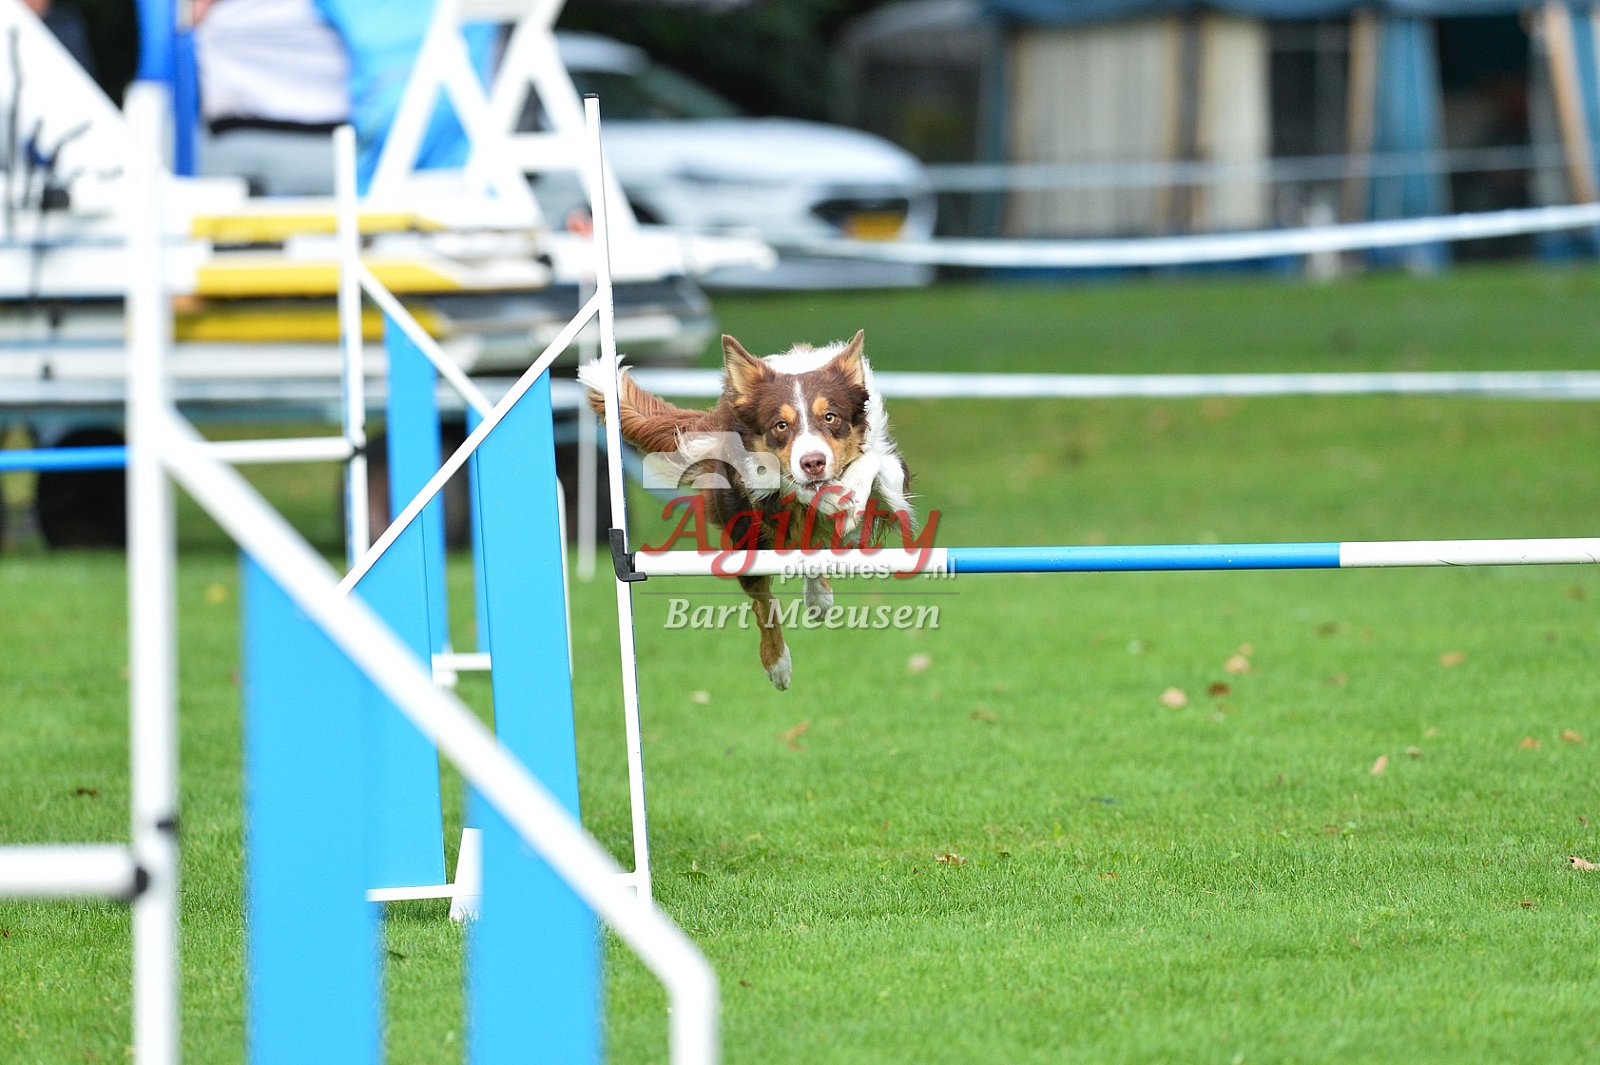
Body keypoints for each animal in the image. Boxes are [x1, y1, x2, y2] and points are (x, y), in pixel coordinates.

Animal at [579, 329, 913, 690]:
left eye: (830, 417)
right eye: (780, 425)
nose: (813, 462)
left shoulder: (892, 473)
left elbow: (873, 464)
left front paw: (849, 494)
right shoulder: (761, 483)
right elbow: (796, 491)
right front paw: (834, 498)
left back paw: (818, 596)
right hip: (744, 534)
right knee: (762, 597)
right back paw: (779, 662)